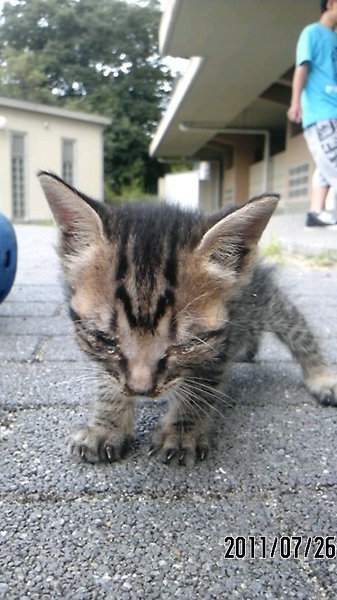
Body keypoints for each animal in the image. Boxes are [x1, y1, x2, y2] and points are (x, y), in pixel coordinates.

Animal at [38, 171, 336, 466]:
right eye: (104, 338)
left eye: (186, 343)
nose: (140, 389)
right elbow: (108, 378)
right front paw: (106, 426)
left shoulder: (218, 345)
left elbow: (201, 389)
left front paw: (181, 433)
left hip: (266, 300)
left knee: (298, 329)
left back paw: (321, 377)